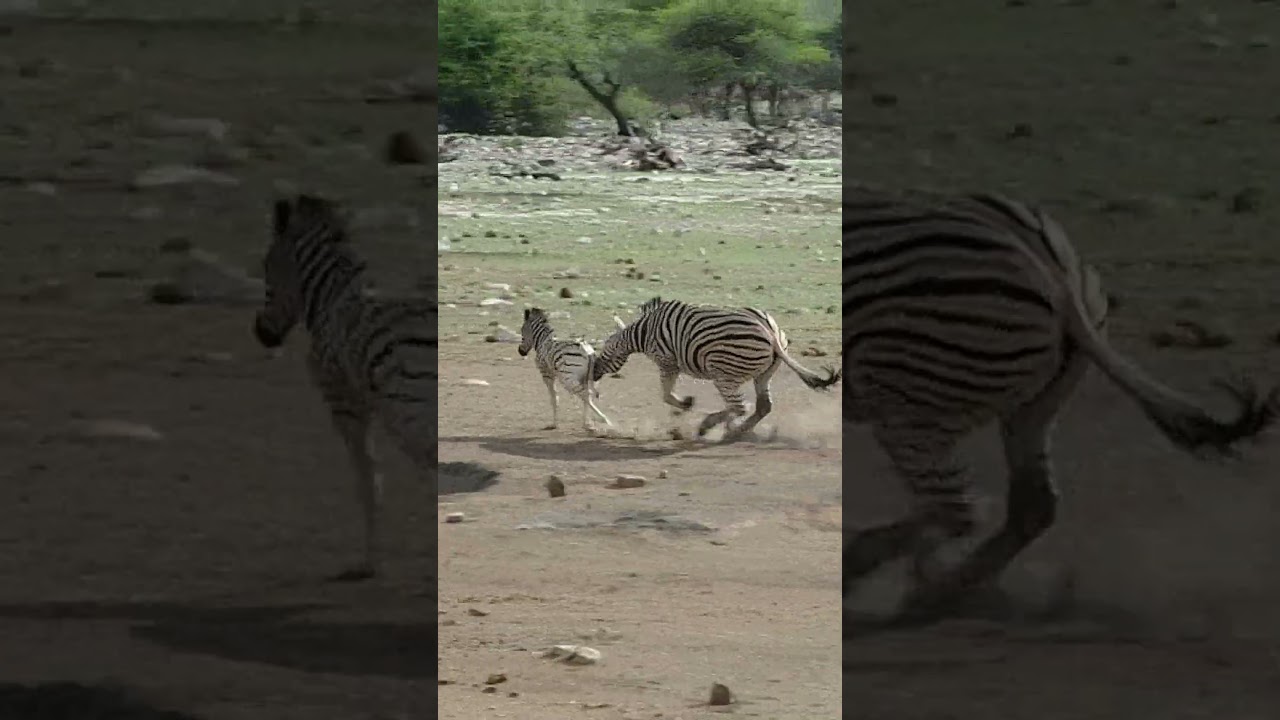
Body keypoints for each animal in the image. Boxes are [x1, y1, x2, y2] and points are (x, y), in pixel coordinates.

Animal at [252, 193, 435, 582]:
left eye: (266, 265)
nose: (262, 334)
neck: (331, 297)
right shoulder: (363, 403)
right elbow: (374, 476)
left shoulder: (344, 403)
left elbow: (367, 480)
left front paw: (367, 564)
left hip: (409, 409)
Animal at [592, 296, 840, 441]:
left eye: (603, 351)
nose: (593, 373)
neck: (644, 332)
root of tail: (770, 332)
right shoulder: (670, 364)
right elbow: (667, 394)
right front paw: (686, 406)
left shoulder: (667, 362)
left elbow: (666, 394)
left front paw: (686, 403)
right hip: (764, 373)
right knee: (761, 406)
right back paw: (737, 430)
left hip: (724, 373)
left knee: (739, 406)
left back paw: (715, 428)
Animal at [842, 185, 1278, 623]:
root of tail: (1052, 266)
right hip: (1034, 399)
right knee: (1030, 505)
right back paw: (944, 588)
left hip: (910, 398)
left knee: (957, 507)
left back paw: (900, 581)